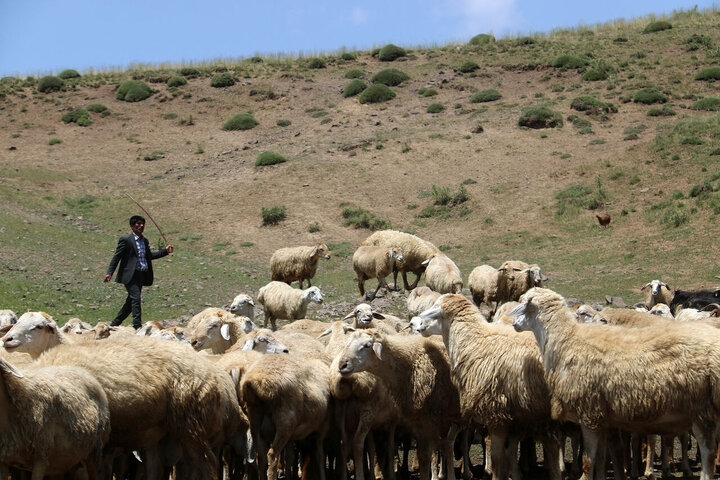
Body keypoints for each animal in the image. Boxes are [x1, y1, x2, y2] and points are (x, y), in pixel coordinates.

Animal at [336, 330, 462, 480]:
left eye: (367, 345)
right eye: (347, 343)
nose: (342, 365)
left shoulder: (430, 419)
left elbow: (427, 455)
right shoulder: (418, 421)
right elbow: (422, 455)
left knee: (448, 443)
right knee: (448, 443)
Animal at [410, 292, 564, 480]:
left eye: (435, 311)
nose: (419, 325)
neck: (475, 342)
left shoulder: (496, 413)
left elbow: (497, 458)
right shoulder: (514, 419)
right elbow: (509, 453)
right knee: (553, 447)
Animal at [510, 286, 720, 480]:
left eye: (524, 304)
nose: (513, 324)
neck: (566, 342)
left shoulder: (590, 414)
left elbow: (588, 461)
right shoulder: (604, 418)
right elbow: (604, 458)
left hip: (701, 410)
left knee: (708, 454)